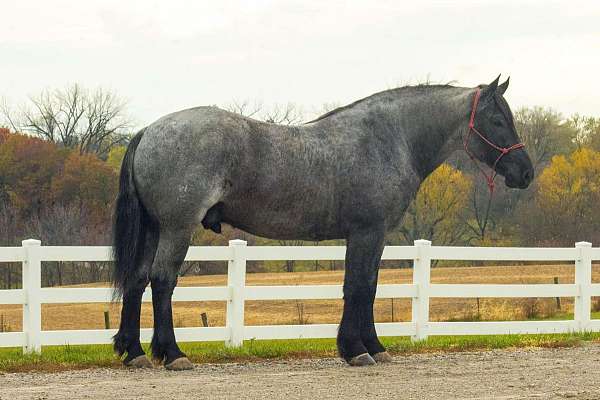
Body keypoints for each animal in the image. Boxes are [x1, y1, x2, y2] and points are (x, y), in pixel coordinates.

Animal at [110, 74, 532, 368]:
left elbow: (366, 287)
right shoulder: (367, 232)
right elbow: (359, 287)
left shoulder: (368, 235)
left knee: (137, 279)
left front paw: (370, 346)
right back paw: (173, 353)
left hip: (155, 229)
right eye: (497, 120)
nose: (525, 173)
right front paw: (358, 350)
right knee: (162, 281)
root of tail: (149, 130)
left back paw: (134, 352)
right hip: (177, 228)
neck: (387, 139)